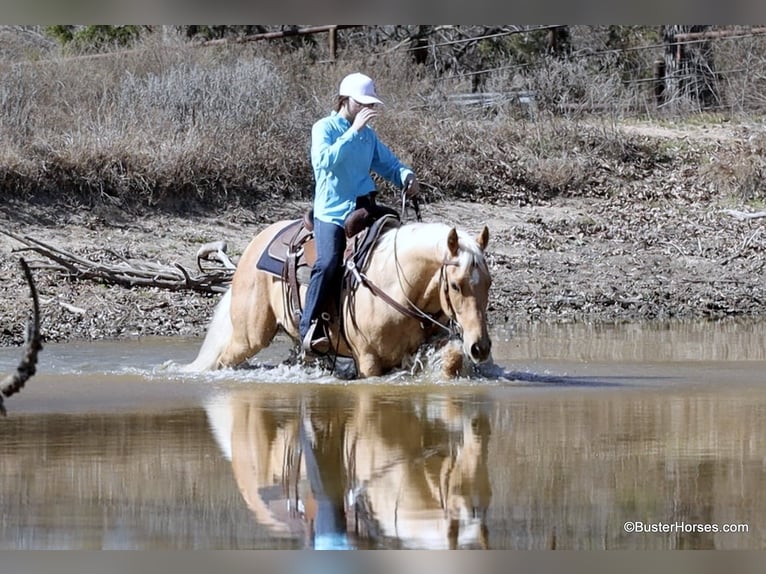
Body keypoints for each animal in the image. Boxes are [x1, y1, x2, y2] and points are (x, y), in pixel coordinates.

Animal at [180, 218, 492, 378]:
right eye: (455, 285)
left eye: (488, 283)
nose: (480, 347)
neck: (396, 284)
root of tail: (253, 246)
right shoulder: (367, 360)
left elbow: (452, 359)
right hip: (250, 337)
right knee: (224, 360)